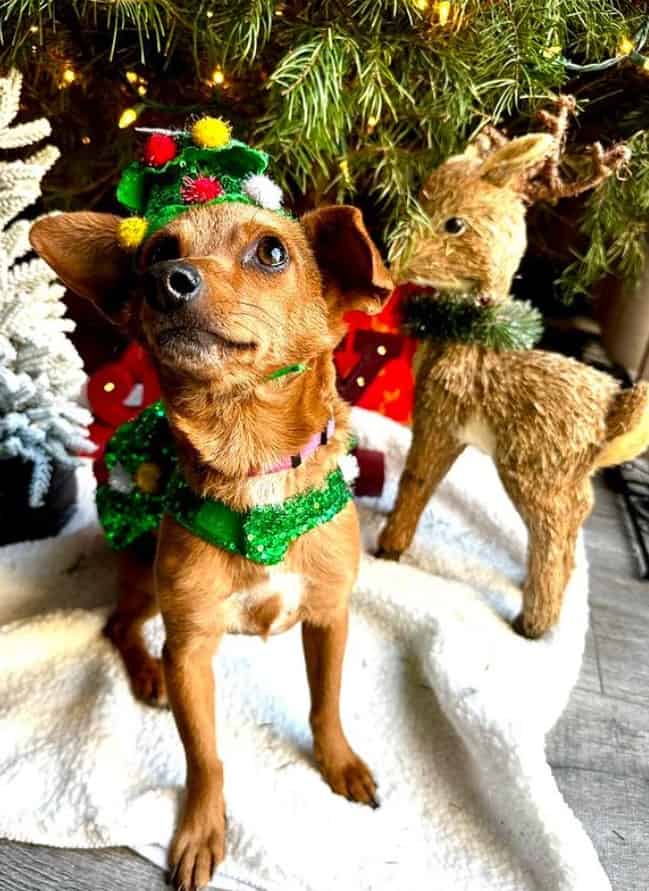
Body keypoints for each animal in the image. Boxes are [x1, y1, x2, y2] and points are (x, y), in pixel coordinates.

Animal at [30, 204, 390, 891]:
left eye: (273, 252)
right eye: (157, 251)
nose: (166, 280)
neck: (253, 470)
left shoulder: (330, 616)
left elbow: (325, 703)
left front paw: (340, 763)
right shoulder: (192, 648)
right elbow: (205, 756)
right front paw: (202, 830)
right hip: (149, 588)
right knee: (118, 625)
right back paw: (148, 674)